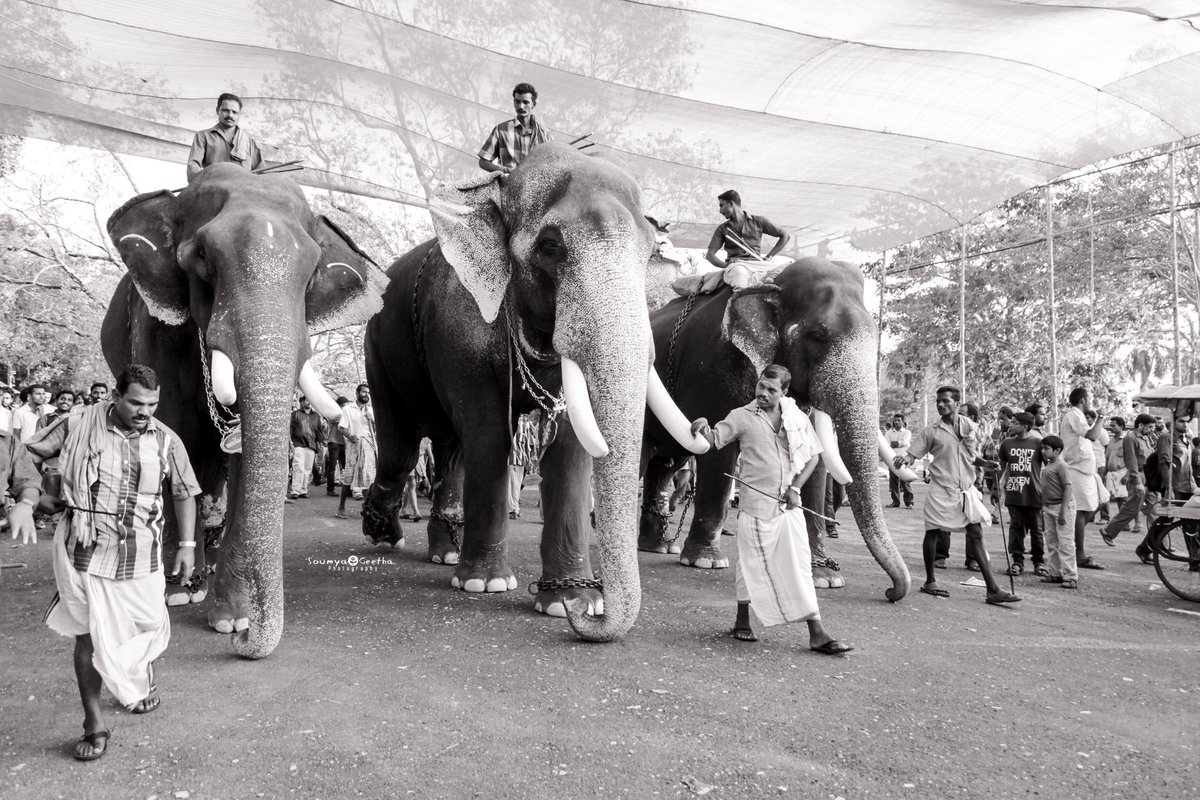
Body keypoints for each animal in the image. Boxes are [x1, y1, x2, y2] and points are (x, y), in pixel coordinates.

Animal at [103, 165, 386, 662]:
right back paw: (190, 573)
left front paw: (230, 617)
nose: (245, 638)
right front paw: (180, 594)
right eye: (200, 256)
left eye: (312, 272)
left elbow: (238, 451)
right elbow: (173, 432)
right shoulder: (153, 325)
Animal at [360, 142, 700, 642]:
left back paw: (444, 553)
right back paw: (383, 534)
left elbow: (573, 445)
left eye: (646, 253)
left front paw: (569, 601)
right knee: (400, 450)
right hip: (377, 350)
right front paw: (487, 585)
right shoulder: (458, 321)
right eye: (550, 246)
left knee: (449, 449)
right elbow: (488, 432)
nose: (588, 617)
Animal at [643, 256, 912, 599]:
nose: (891, 592)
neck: (771, 282)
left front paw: (824, 577)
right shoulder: (712, 367)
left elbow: (816, 459)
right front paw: (706, 561)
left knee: (666, 463)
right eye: (817, 335)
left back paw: (659, 547)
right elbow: (720, 448)